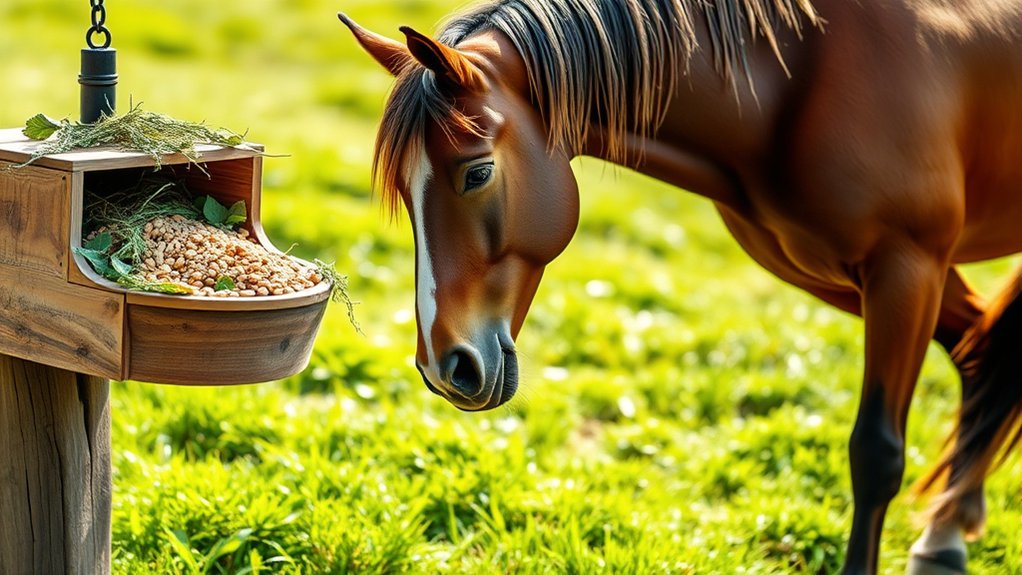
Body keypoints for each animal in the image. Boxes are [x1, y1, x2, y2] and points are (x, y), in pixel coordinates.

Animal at [338, 1, 1022, 573]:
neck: (799, 79)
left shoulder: (908, 265)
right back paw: (947, 534)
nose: (443, 367)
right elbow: (982, 351)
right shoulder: (853, 271)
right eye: (404, 193)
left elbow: (876, 453)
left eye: (477, 172)